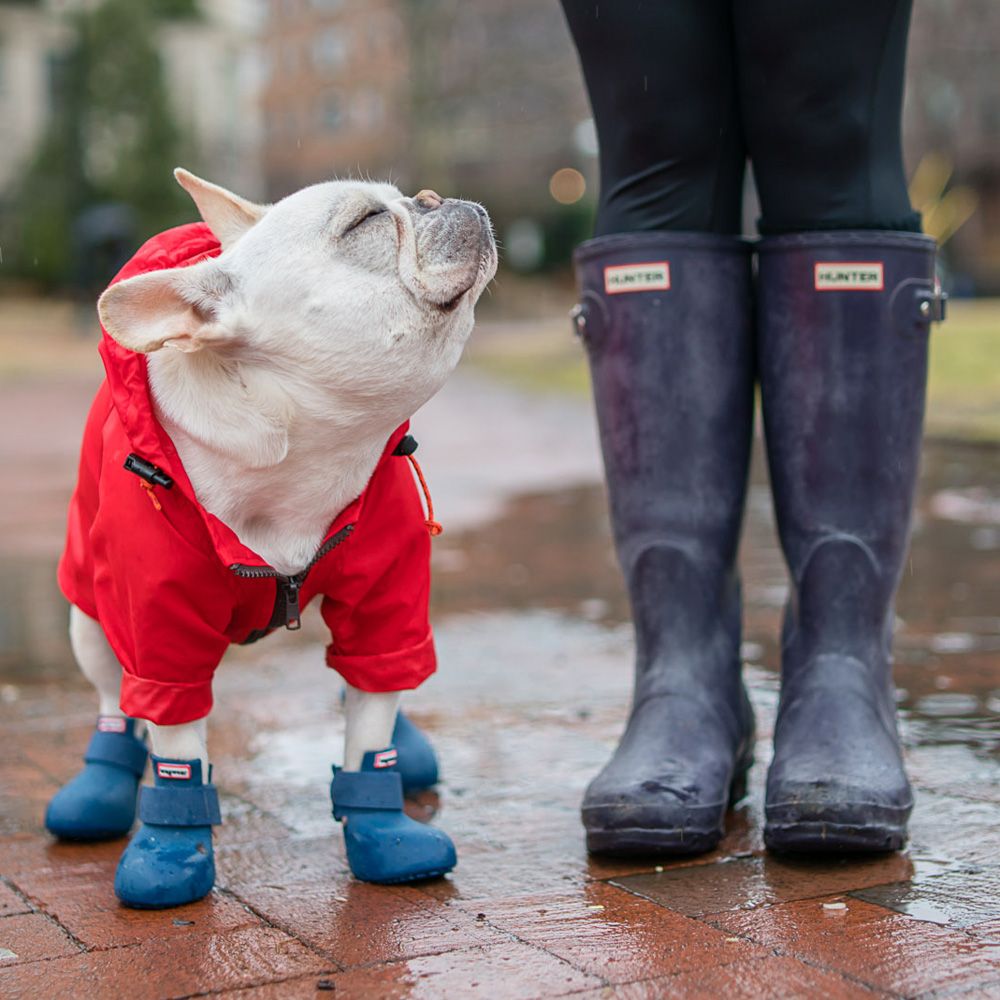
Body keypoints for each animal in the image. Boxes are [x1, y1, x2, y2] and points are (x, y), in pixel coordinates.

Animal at [47, 170, 500, 908]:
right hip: (88, 617)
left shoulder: (386, 599)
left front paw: (386, 834)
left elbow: (372, 715)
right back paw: (101, 786)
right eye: (367, 221)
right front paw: (169, 853)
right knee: (116, 699)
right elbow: (175, 742)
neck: (305, 449)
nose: (434, 198)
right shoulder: (159, 628)